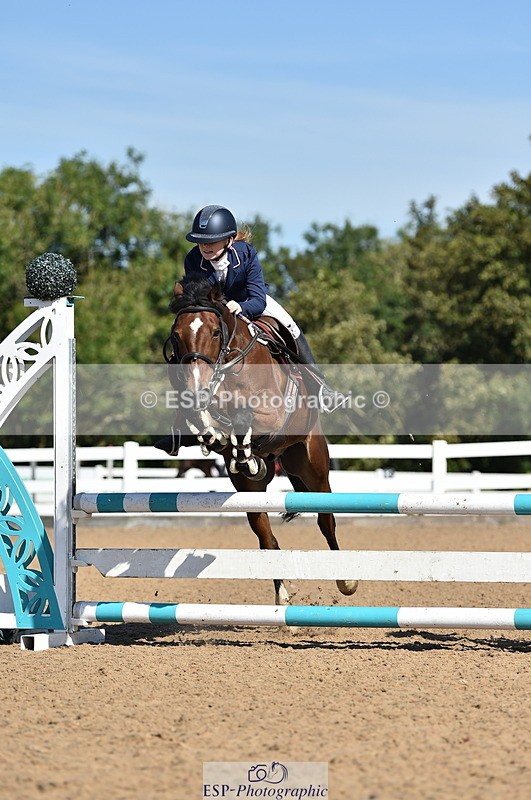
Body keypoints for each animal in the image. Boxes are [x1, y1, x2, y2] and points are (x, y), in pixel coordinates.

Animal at [166, 277, 358, 604]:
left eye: (215, 331)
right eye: (177, 336)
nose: (196, 388)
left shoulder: (272, 414)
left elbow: (245, 416)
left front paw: (237, 440)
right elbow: (204, 421)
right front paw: (217, 435)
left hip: (312, 464)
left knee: (326, 520)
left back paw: (346, 581)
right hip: (250, 491)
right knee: (265, 534)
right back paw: (281, 595)